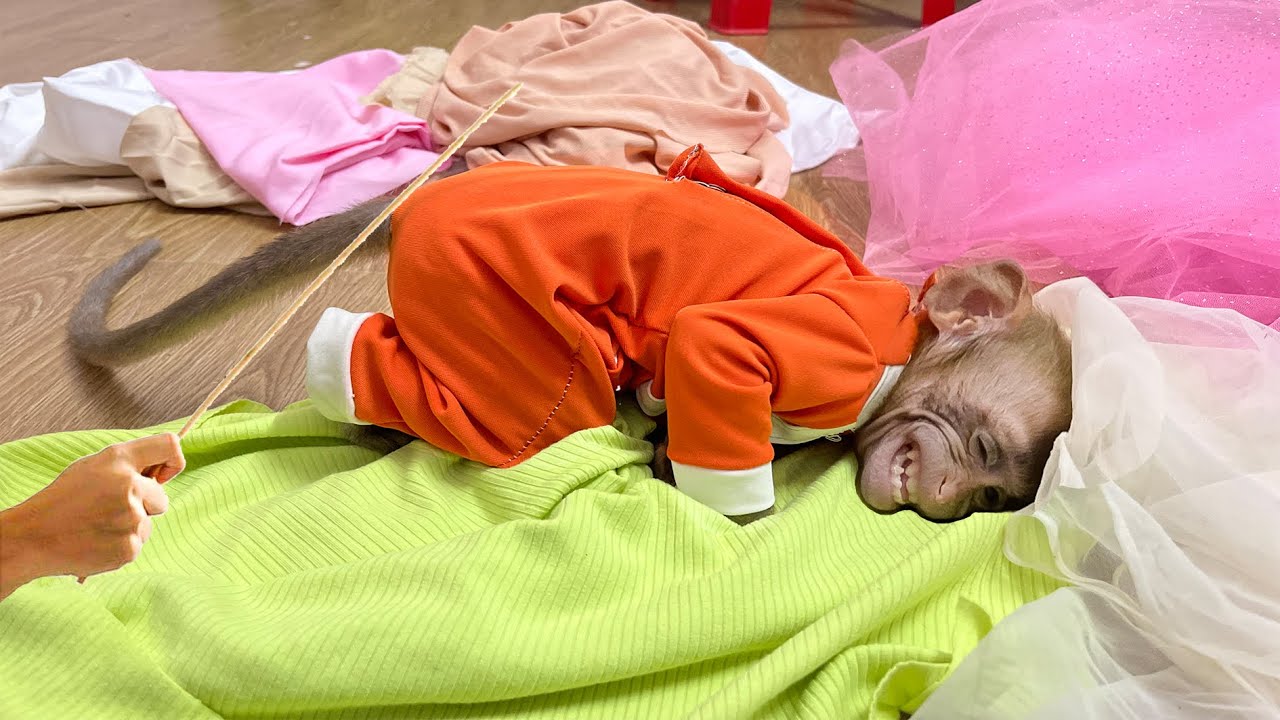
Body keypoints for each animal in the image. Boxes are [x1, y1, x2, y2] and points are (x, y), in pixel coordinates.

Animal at [66, 144, 1072, 524]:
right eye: (983, 452)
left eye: (989, 497)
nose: (943, 498)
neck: (904, 346)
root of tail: (432, 192)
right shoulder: (839, 347)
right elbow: (717, 348)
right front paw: (729, 505)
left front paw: (664, 435)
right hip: (491, 299)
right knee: (520, 406)